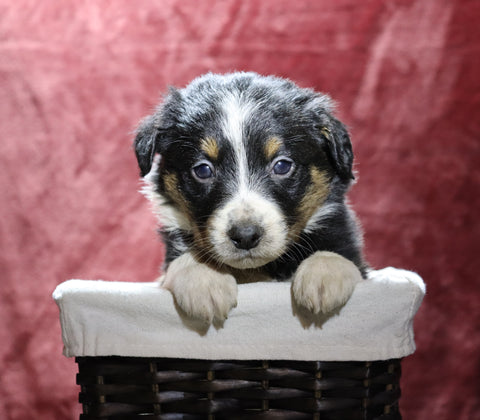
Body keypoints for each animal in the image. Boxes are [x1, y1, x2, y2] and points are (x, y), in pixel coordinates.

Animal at [135, 72, 368, 324]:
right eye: (203, 170)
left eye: (282, 165)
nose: (245, 236)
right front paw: (204, 280)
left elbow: (338, 254)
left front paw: (325, 274)